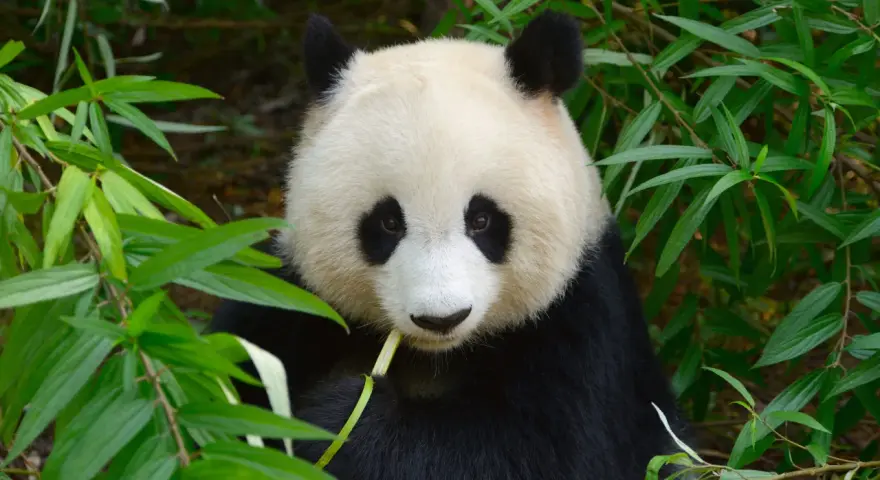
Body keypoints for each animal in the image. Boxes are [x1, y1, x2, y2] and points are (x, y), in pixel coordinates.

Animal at [208, 10, 692, 480]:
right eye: (388, 222)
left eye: (481, 220)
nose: (441, 318)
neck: (436, 357)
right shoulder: (292, 298)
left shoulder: (582, 323)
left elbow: (532, 452)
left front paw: (340, 419)